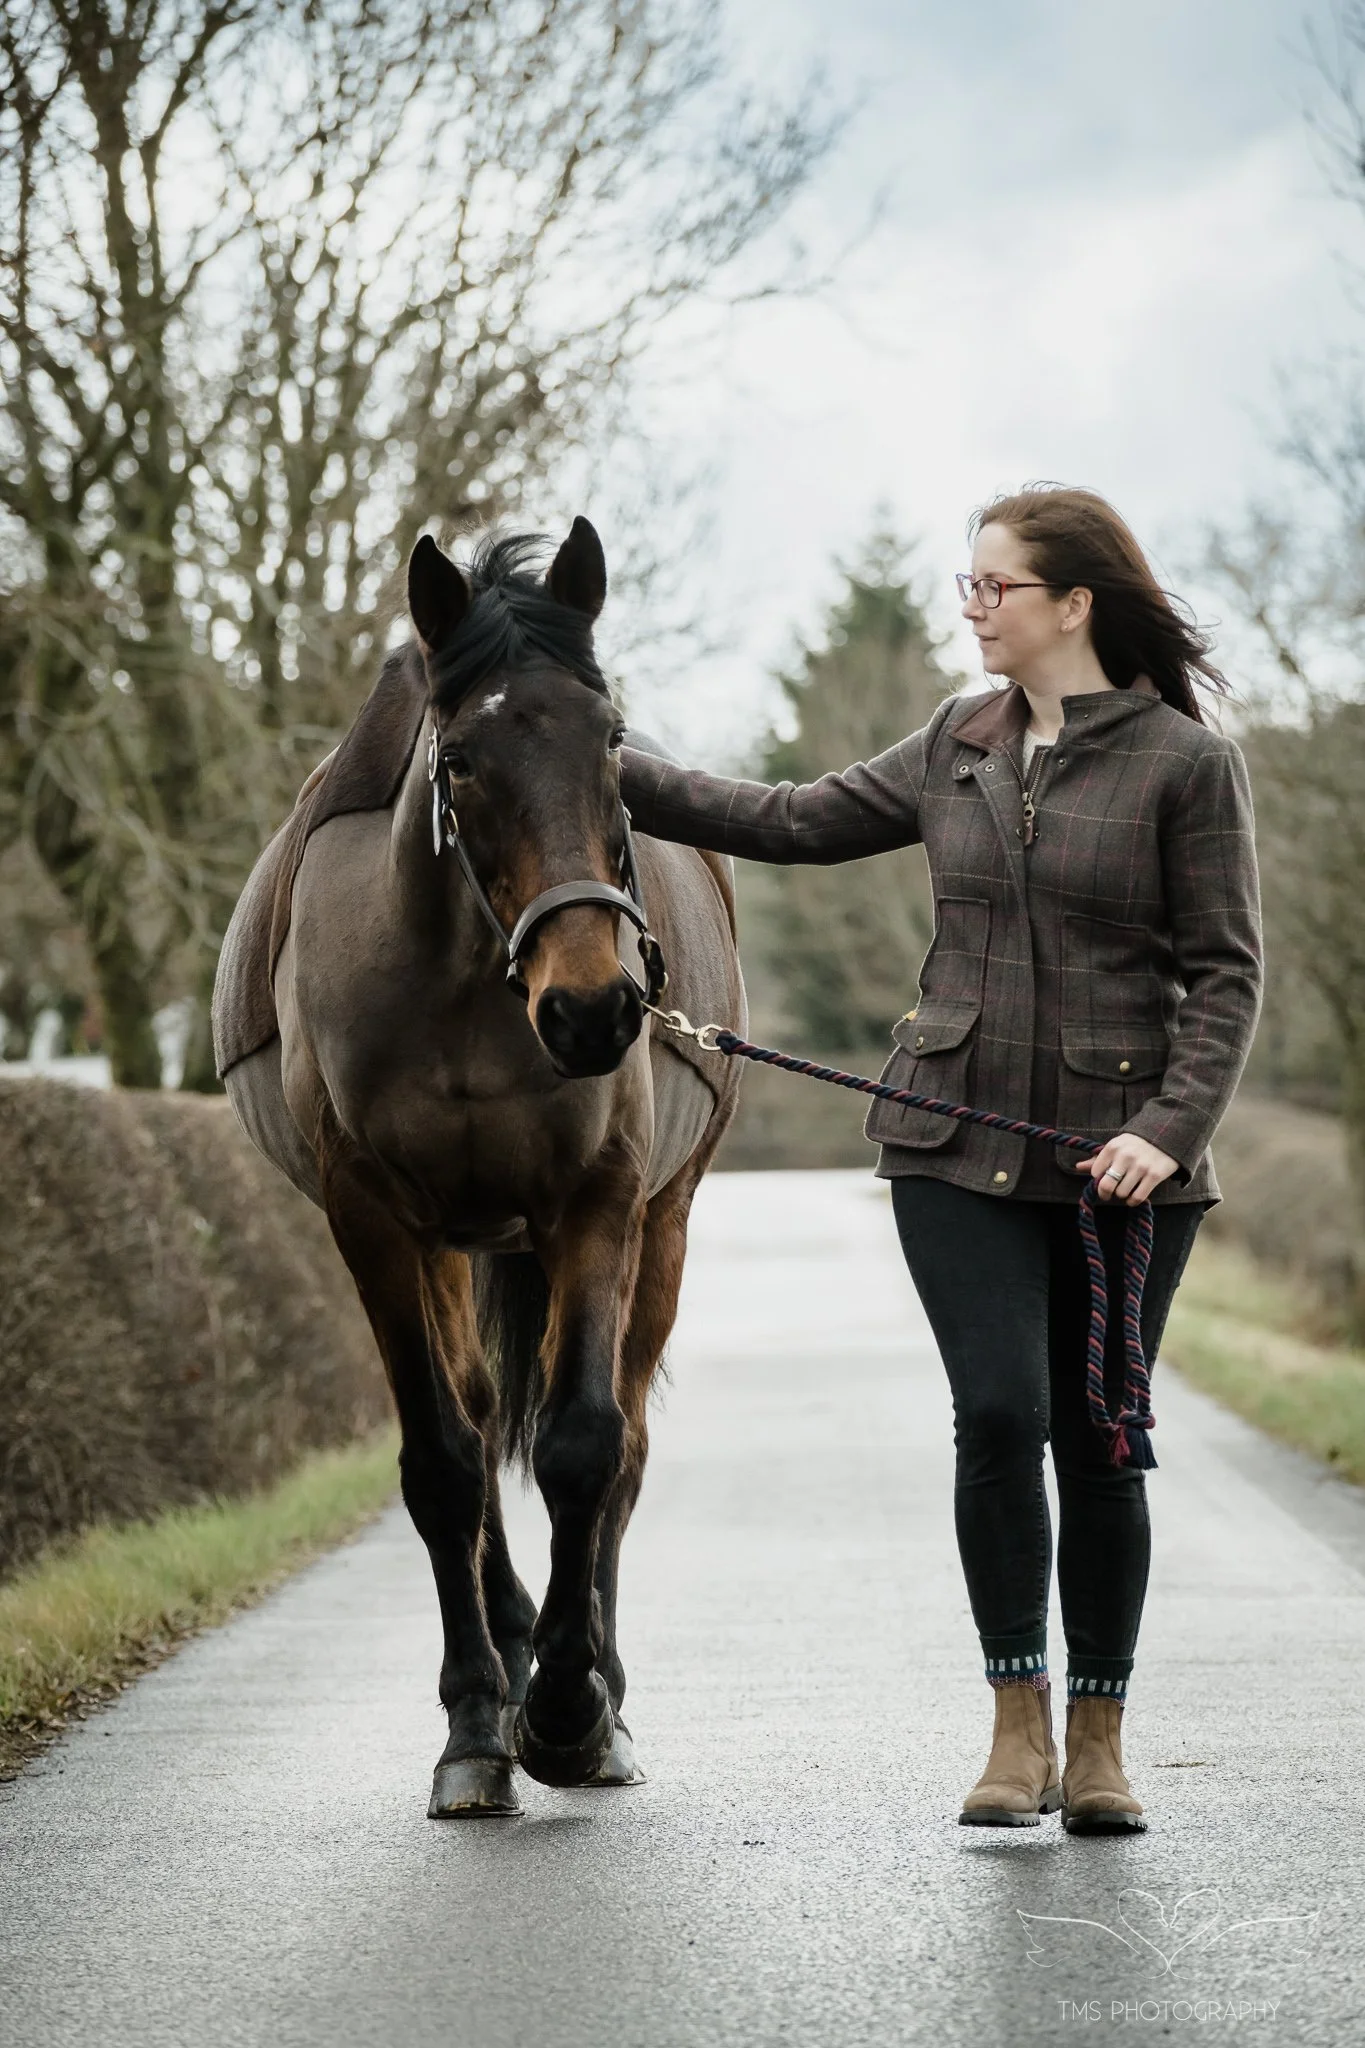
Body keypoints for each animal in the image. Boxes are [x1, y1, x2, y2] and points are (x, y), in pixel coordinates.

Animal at [212, 519, 745, 1816]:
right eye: (457, 762)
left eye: (612, 741)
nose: (595, 1006)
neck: (459, 987)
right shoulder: (374, 1222)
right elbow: (446, 1462)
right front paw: (476, 1721)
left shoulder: (597, 1203)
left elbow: (584, 1446)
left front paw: (567, 1709)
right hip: (456, 1243)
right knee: (479, 1408)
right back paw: (507, 1656)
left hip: (665, 1223)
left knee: (621, 1447)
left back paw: (594, 1685)